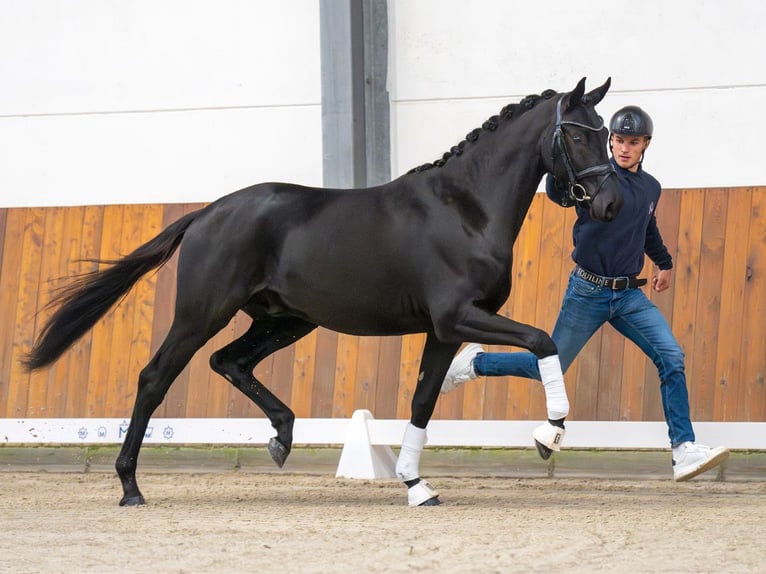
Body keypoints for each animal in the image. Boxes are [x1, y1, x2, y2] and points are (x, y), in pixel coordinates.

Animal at [24, 76, 624, 508]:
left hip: (286, 319)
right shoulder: (458, 317)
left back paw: (281, 438)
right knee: (155, 378)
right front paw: (549, 435)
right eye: (577, 133)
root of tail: (208, 213)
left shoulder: (442, 330)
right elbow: (543, 340)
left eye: (607, 133)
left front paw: (416, 485)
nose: (611, 203)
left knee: (229, 362)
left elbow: (423, 400)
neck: (466, 209)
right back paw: (130, 486)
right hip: (202, 315)